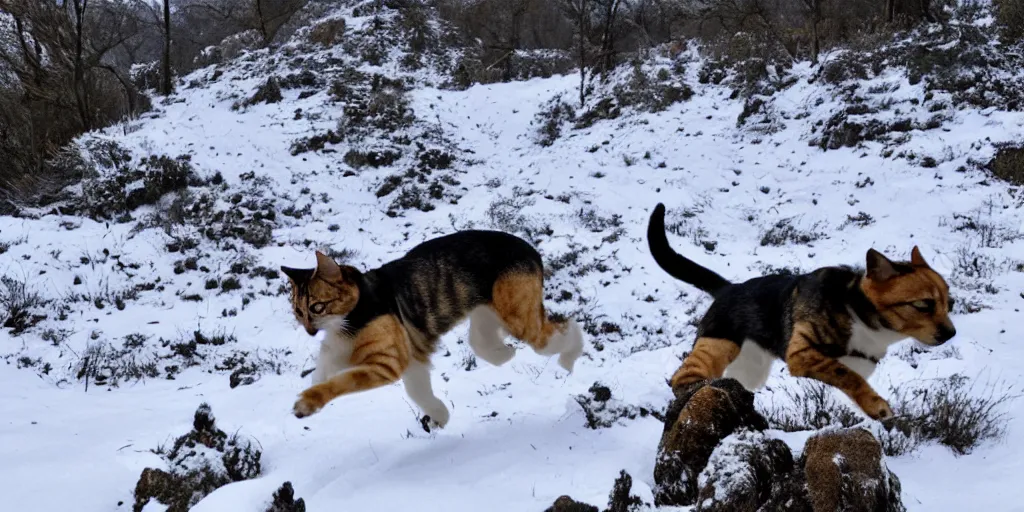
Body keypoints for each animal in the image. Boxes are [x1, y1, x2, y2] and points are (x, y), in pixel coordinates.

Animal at [280, 230, 585, 425]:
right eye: (298, 312)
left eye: (317, 307)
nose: (309, 330)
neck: (350, 319)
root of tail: (531, 249)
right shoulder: (410, 361)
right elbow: (419, 392)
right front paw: (440, 416)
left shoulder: (387, 364)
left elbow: (339, 382)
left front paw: (307, 403)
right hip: (486, 317)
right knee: (486, 344)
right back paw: (506, 353)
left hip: (519, 318)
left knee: (566, 329)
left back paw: (571, 356)